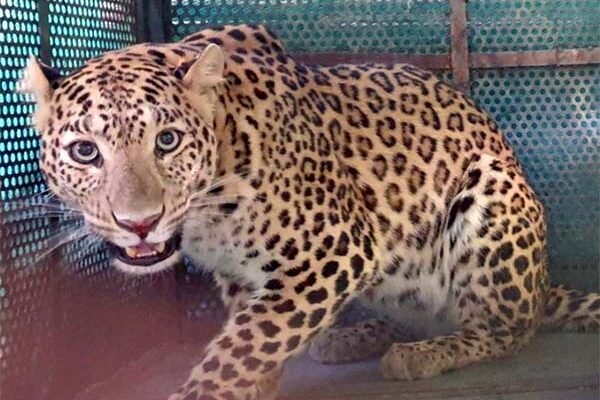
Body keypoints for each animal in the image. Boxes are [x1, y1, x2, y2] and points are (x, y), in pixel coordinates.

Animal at [20, 24, 599, 400]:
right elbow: (256, 330)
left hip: (492, 201)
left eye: (167, 141)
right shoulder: (244, 275)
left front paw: (209, 389)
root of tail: (543, 284)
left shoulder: (337, 250)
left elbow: (245, 341)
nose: (138, 222)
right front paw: (259, 384)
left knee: (508, 330)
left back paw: (423, 354)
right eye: (85, 152)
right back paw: (353, 338)